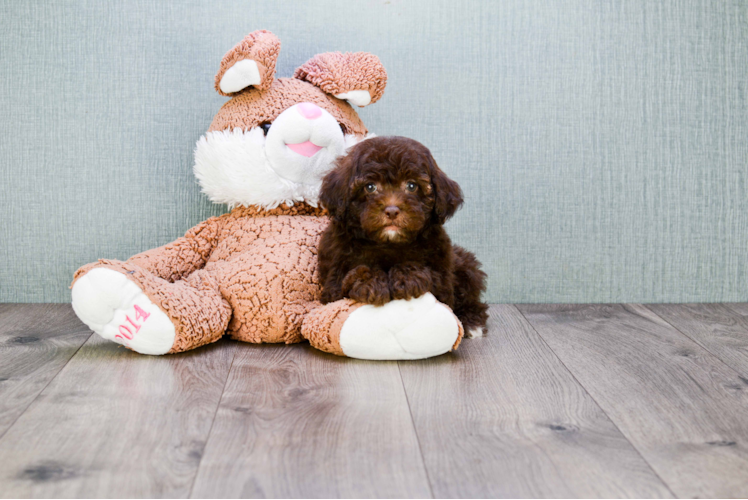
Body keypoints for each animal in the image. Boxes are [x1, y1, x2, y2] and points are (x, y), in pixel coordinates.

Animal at [318, 136, 488, 336]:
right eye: (370, 187)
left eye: (412, 186)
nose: (392, 211)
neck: (389, 243)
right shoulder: (333, 282)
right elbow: (346, 282)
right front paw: (371, 281)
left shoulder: (443, 277)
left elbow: (434, 280)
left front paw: (408, 276)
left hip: (464, 265)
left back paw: (472, 321)